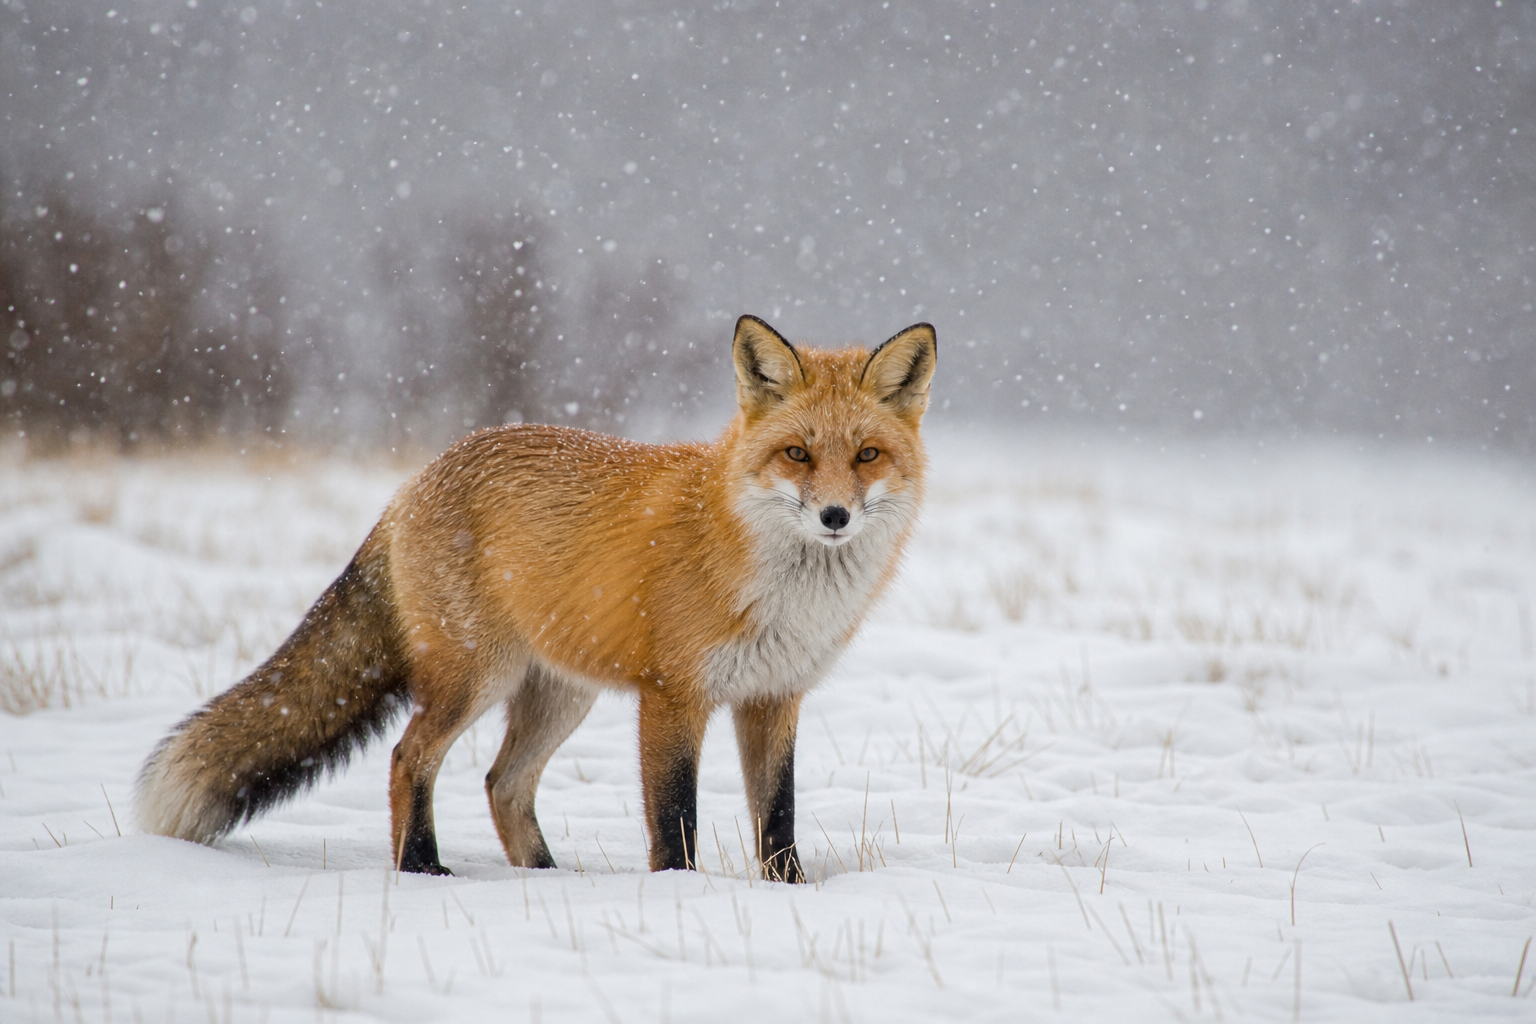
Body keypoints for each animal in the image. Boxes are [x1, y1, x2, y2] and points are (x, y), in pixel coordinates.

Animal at [136, 314, 936, 881]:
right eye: (797, 453)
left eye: (867, 454)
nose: (834, 516)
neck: (781, 590)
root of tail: (414, 481)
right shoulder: (673, 695)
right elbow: (674, 819)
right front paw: (679, 893)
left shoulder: (775, 697)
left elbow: (778, 817)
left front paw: (790, 894)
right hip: (474, 678)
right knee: (408, 757)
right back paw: (421, 868)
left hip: (559, 694)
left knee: (502, 783)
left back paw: (548, 878)